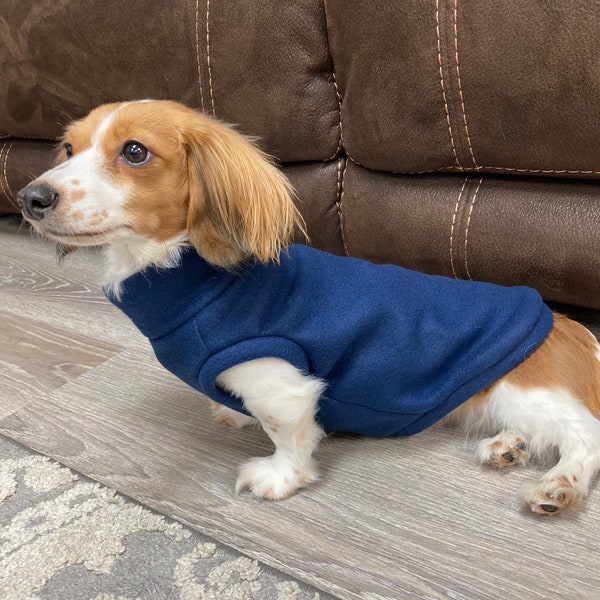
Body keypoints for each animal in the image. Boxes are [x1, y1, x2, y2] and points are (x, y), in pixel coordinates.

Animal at [16, 101, 600, 512]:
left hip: (524, 388)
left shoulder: (282, 382)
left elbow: (289, 436)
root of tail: (567, 326)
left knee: (585, 435)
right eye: (67, 148)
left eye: (135, 152)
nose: (30, 198)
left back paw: (557, 485)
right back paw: (507, 447)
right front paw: (236, 413)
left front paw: (278, 477)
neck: (194, 280)